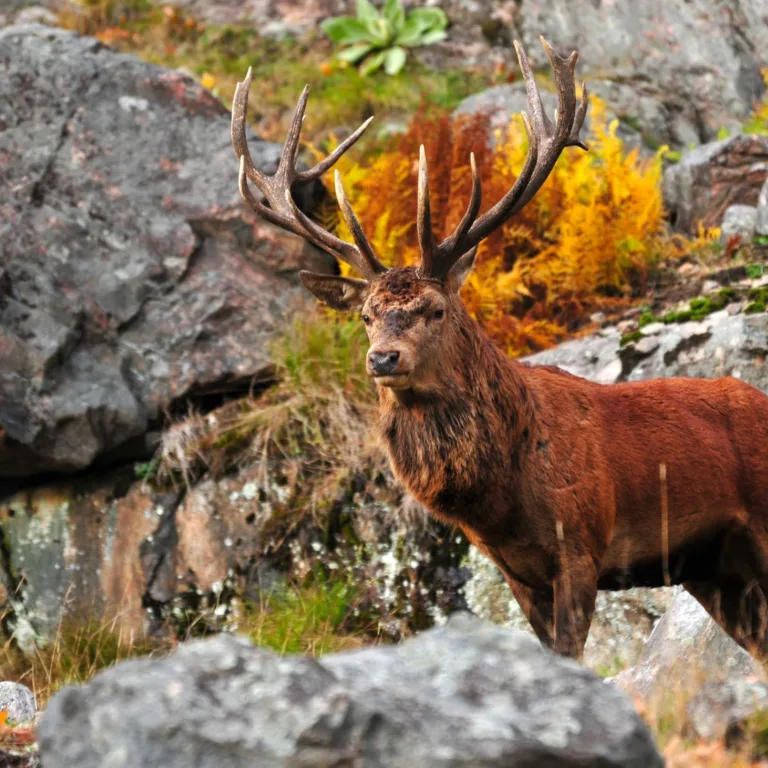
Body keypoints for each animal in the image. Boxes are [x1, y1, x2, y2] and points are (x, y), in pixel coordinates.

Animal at [231, 38, 768, 660]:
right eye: (366, 317)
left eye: (435, 310)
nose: (383, 358)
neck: (504, 494)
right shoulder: (516, 572)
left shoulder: (580, 543)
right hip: (716, 568)